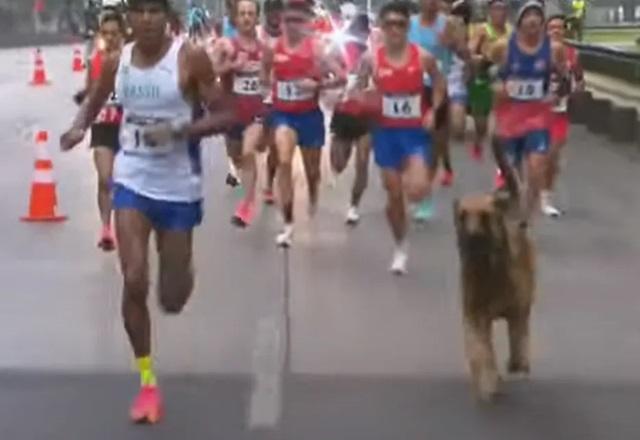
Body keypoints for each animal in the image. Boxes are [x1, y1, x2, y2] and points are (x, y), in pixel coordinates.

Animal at [452, 143, 536, 400]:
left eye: (485, 216)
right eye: (462, 216)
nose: (472, 238)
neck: (489, 270)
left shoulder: (517, 311)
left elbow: (518, 337)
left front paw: (517, 363)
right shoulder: (475, 315)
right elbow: (481, 351)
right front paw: (488, 382)